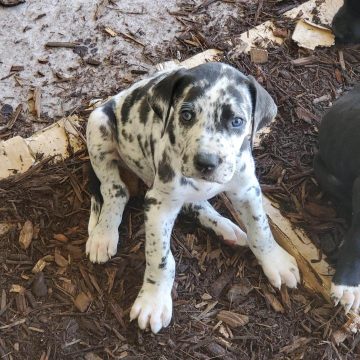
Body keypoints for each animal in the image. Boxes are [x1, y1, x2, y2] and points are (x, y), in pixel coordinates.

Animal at [86, 61, 300, 332]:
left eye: (237, 121)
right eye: (186, 115)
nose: (206, 162)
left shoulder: (246, 189)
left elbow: (261, 228)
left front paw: (275, 261)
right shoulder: (159, 204)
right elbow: (160, 258)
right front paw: (153, 301)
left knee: (194, 204)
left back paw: (227, 228)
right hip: (98, 126)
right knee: (115, 191)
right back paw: (103, 235)